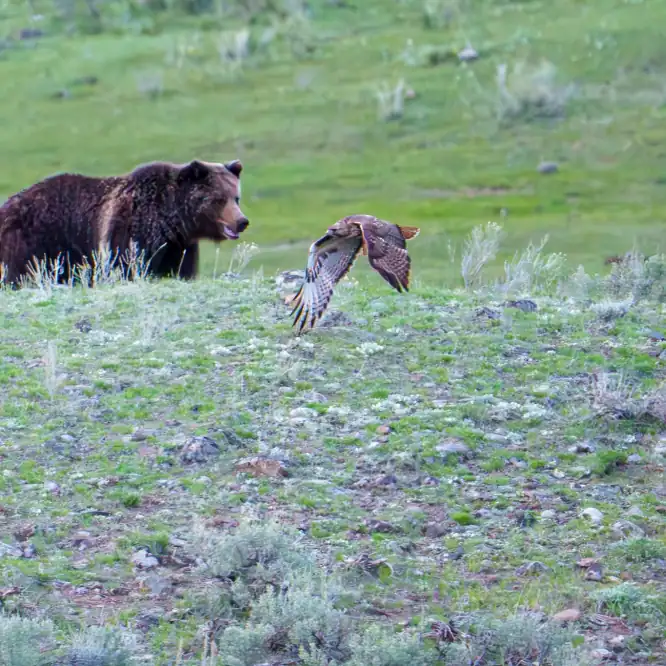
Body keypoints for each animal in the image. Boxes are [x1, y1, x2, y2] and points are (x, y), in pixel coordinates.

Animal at [0, 158, 249, 286]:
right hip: (32, 243)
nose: (242, 221)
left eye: (236, 197)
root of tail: (7, 205)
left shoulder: (179, 247)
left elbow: (181, 270)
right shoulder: (129, 231)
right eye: (218, 199)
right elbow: (125, 265)